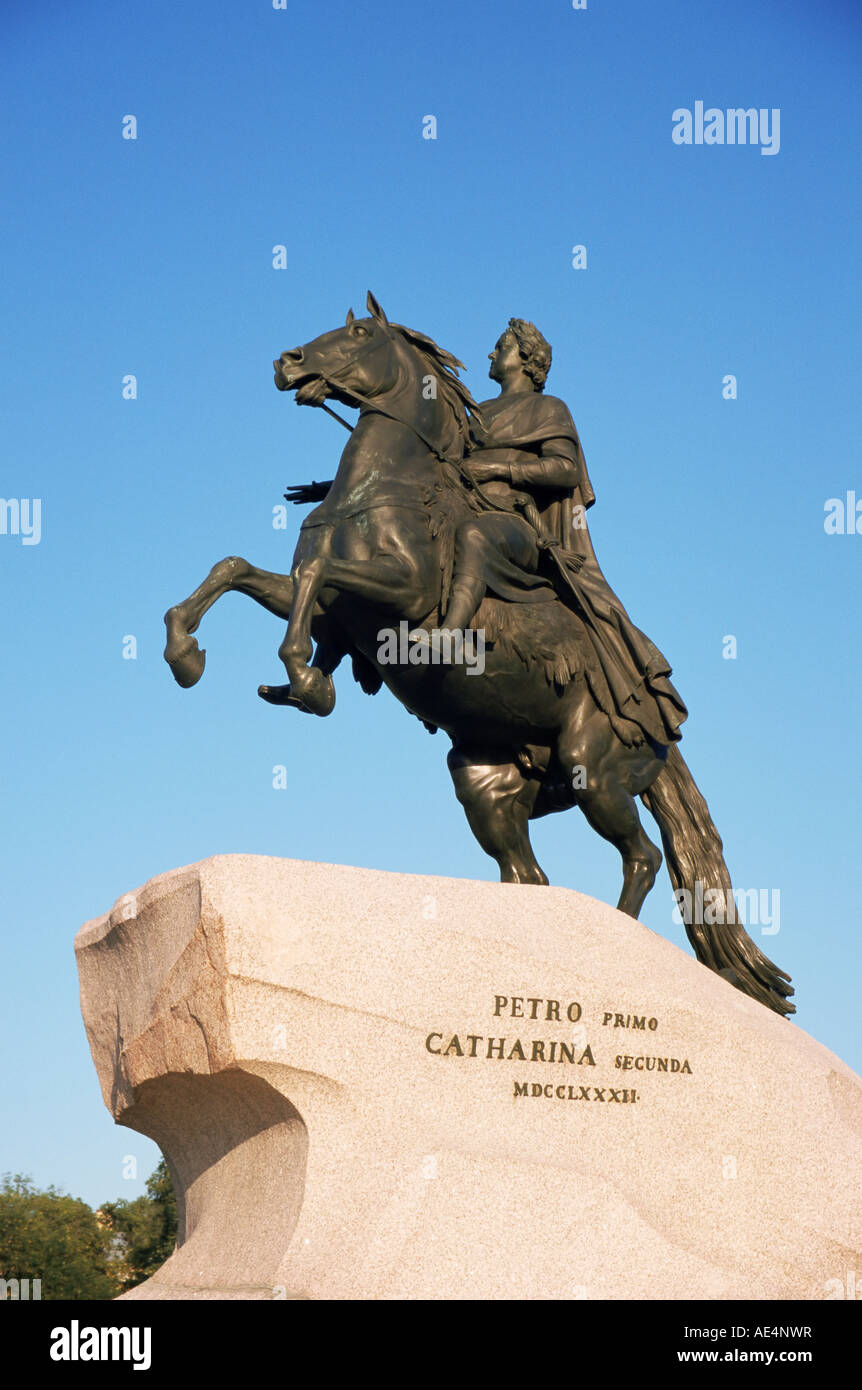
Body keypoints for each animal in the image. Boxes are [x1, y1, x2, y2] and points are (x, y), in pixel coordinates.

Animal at [163, 293, 795, 1017]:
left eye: (359, 331)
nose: (287, 361)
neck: (380, 490)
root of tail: (664, 731)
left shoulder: (402, 595)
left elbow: (318, 575)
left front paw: (305, 678)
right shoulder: (326, 609)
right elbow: (237, 570)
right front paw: (188, 654)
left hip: (595, 770)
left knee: (641, 857)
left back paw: (616, 939)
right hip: (489, 783)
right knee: (528, 873)